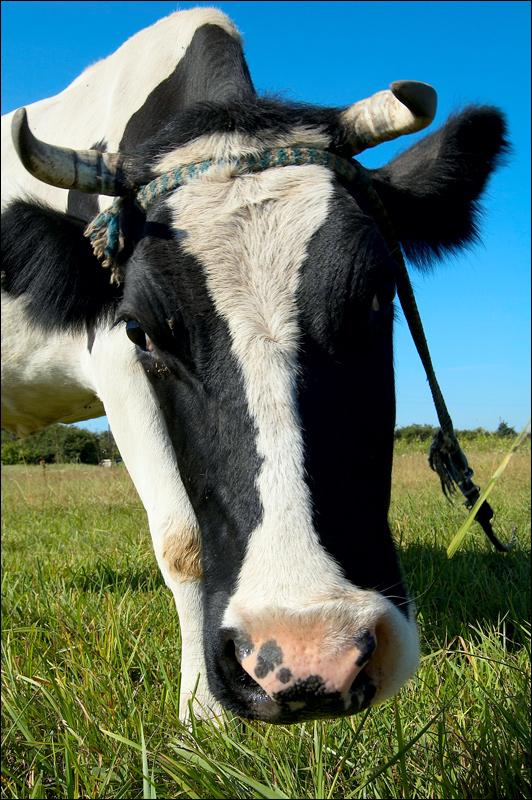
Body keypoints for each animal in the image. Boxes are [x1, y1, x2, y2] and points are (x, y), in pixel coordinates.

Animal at [0, 9, 508, 724]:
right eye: (139, 328)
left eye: (379, 293)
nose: (308, 654)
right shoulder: (116, 366)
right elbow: (181, 538)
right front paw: (202, 710)